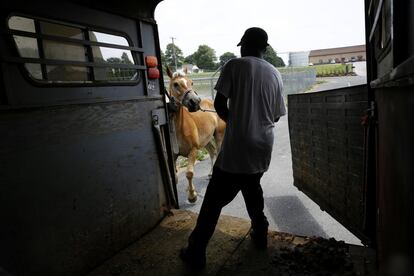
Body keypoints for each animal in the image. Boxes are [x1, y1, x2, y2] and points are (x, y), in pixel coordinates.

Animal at [166, 67, 226, 203]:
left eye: (191, 82)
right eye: (175, 84)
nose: (195, 102)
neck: (179, 128)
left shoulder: (193, 150)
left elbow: (189, 174)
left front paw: (192, 195)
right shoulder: (173, 155)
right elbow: (175, 178)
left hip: (218, 136)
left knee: (218, 152)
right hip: (206, 140)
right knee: (212, 152)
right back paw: (210, 173)